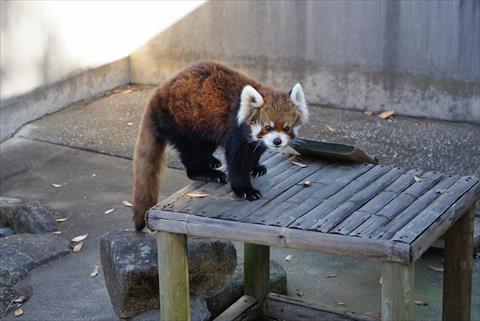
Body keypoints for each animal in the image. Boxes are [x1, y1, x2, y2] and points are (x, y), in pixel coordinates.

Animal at [133, 61, 310, 229]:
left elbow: (255, 152)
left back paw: (212, 161)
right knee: (193, 153)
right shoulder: (235, 130)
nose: (277, 141)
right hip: (184, 121)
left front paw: (256, 167)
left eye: (286, 128)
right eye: (268, 127)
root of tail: (158, 94)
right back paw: (206, 173)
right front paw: (245, 190)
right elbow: (237, 162)